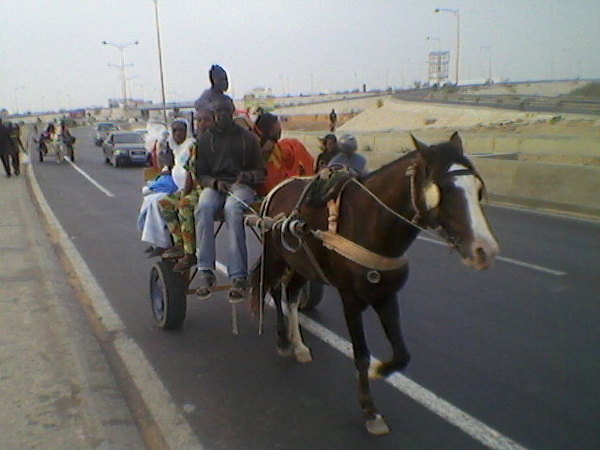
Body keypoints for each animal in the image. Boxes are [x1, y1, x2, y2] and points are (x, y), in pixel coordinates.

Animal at [248, 132, 502, 434]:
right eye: (444, 189)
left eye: (478, 189)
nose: (485, 250)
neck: (369, 223)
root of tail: (276, 190)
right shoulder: (351, 300)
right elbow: (361, 355)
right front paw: (369, 409)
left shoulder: (386, 295)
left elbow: (402, 354)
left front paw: (381, 371)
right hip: (276, 255)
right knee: (274, 289)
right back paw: (283, 339)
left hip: (302, 264)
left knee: (292, 295)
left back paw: (298, 345)